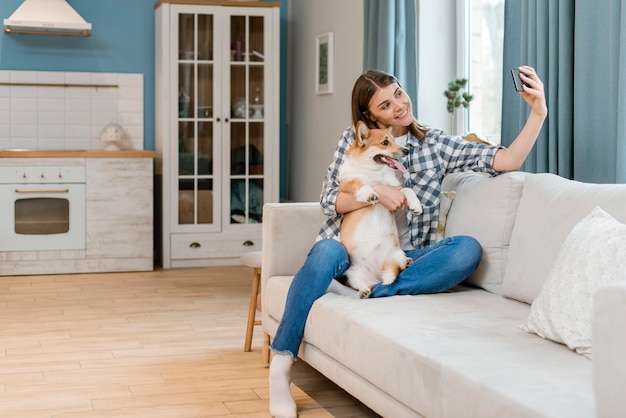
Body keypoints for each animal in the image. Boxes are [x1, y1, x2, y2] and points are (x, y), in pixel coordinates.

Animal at [338, 122, 422, 298]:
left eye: (394, 140)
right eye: (385, 142)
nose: (406, 150)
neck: (373, 171)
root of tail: (377, 277)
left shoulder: (396, 189)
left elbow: (408, 190)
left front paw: (416, 205)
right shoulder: (347, 182)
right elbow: (360, 183)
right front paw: (369, 194)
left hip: (396, 253)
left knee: (398, 264)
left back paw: (406, 262)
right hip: (353, 274)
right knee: (363, 285)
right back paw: (364, 291)